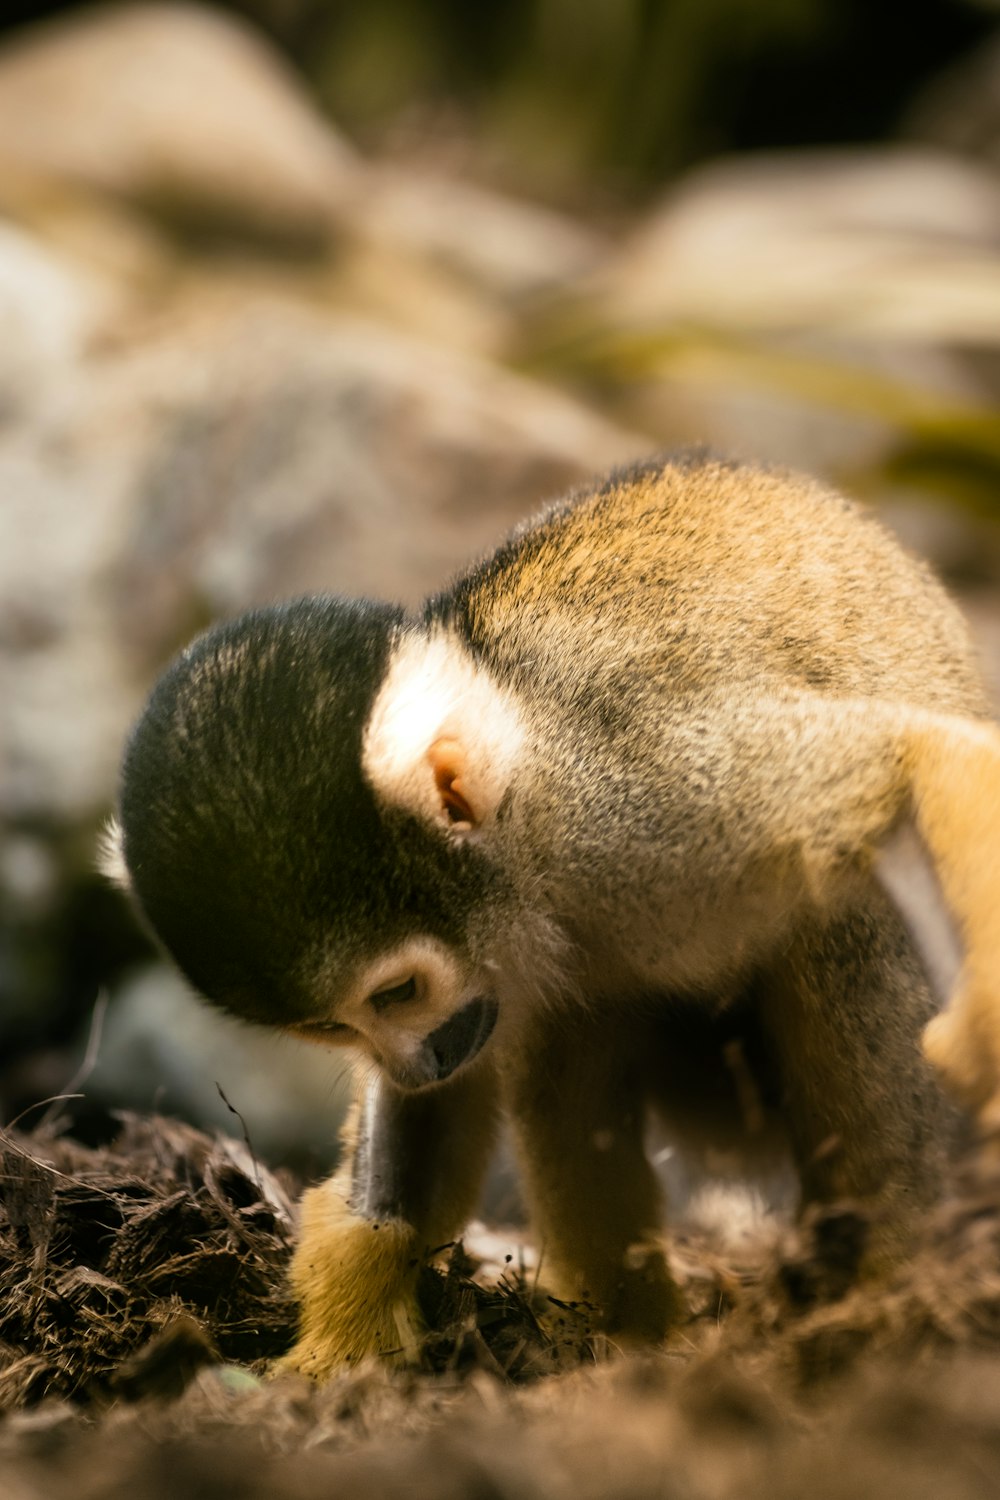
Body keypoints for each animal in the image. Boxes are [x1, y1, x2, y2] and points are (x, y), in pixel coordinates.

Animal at [103, 459, 1000, 1380]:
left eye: (396, 993)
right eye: (338, 1028)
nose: (413, 1061)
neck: (534, 855)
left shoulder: (640, 799)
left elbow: (913, 760)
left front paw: (985, 1020)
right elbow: (447, 1104)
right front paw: (350, 1323)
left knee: (845, 923)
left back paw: (877, 1284)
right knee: (563, 1034)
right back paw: (624, 1329)